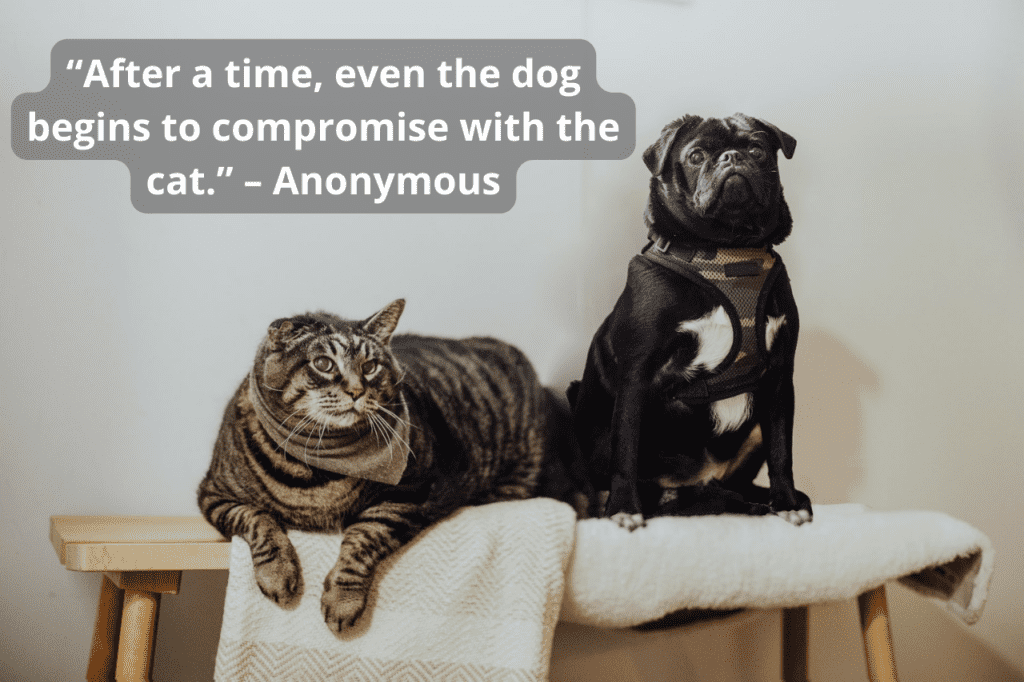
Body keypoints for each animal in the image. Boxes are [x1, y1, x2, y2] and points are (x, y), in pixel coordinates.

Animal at [195, 296, 589, 630]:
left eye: (370, 366)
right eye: (323, 363)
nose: (357, 390)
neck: (317, 467)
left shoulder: (411, 494)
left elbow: (364, 537)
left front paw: (342, 599)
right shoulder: (214, 493)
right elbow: (258, 521)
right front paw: (277, 574)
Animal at [569, 111, 806, 528]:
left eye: (757, 150)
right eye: (696, 156)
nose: (732, 157)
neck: (727, 250)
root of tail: (698, 481)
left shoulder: (779, 377)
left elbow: (782, 450)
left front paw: (787, 501)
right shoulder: (636, 377)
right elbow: (625, 452)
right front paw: (624, 508)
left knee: (735, 485)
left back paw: (760, 501)